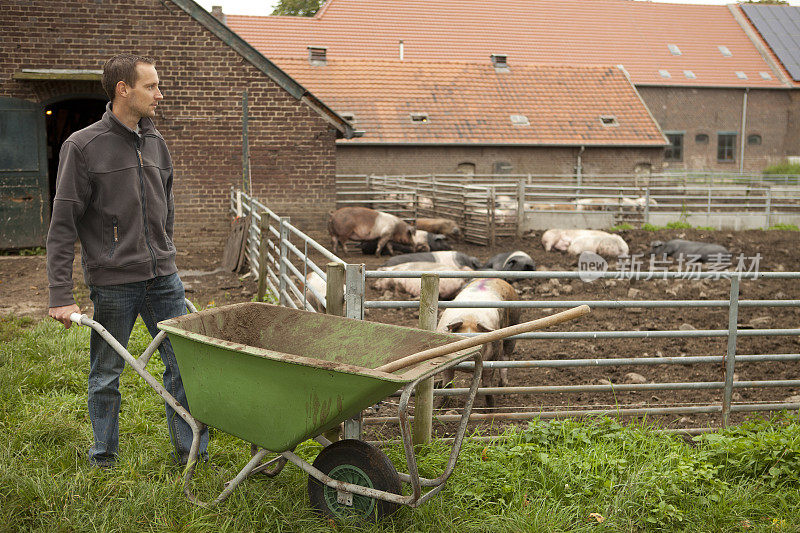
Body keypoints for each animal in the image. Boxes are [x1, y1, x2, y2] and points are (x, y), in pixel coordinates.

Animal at [434, 276, 520, 406]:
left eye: (480, 344)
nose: (469, 358)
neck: (470, 318)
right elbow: (447, 385)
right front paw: (441, 407)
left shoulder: (492, 357)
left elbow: (487, 385)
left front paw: (490, 409)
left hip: (513, 325)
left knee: (505, 358)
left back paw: (503, 388)